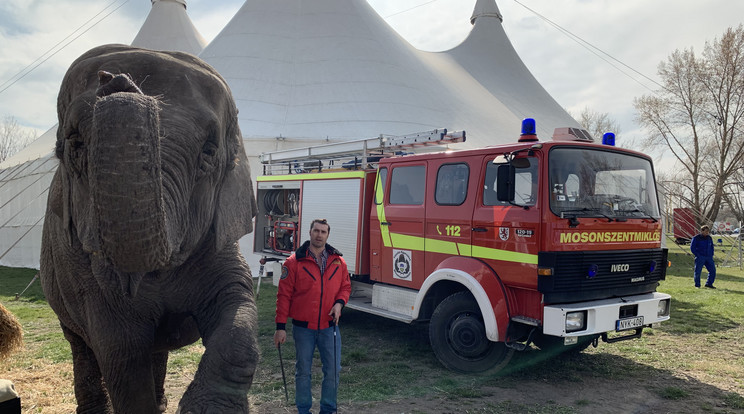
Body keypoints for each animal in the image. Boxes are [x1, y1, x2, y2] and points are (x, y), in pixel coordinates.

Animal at [42, 45, 262, 414]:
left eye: (209, 151)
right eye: (75, 145)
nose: (113, 78)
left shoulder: (218, 239)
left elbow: (237, 304)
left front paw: (207, 407)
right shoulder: (90, 276)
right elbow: (122, 355)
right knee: (81, 346)